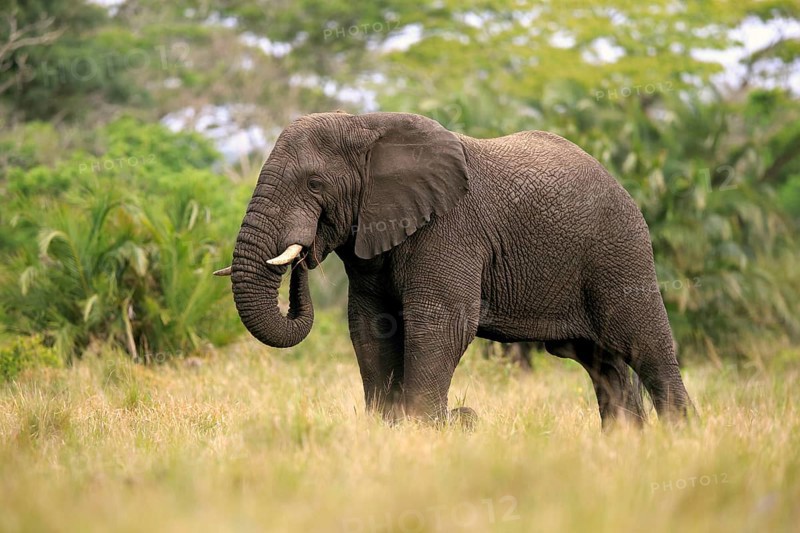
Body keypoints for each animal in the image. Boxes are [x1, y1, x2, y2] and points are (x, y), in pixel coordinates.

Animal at [215, 111, 695, 429]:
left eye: (314, 184)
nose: (303, 256)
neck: (366, 124)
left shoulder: (449, 229)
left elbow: (441, 323)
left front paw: (422, 430)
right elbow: (370, 326)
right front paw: (385, 429)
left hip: (619, 251)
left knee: (644, 343)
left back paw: (679, 438)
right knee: (600, 361)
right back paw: (625, 443)